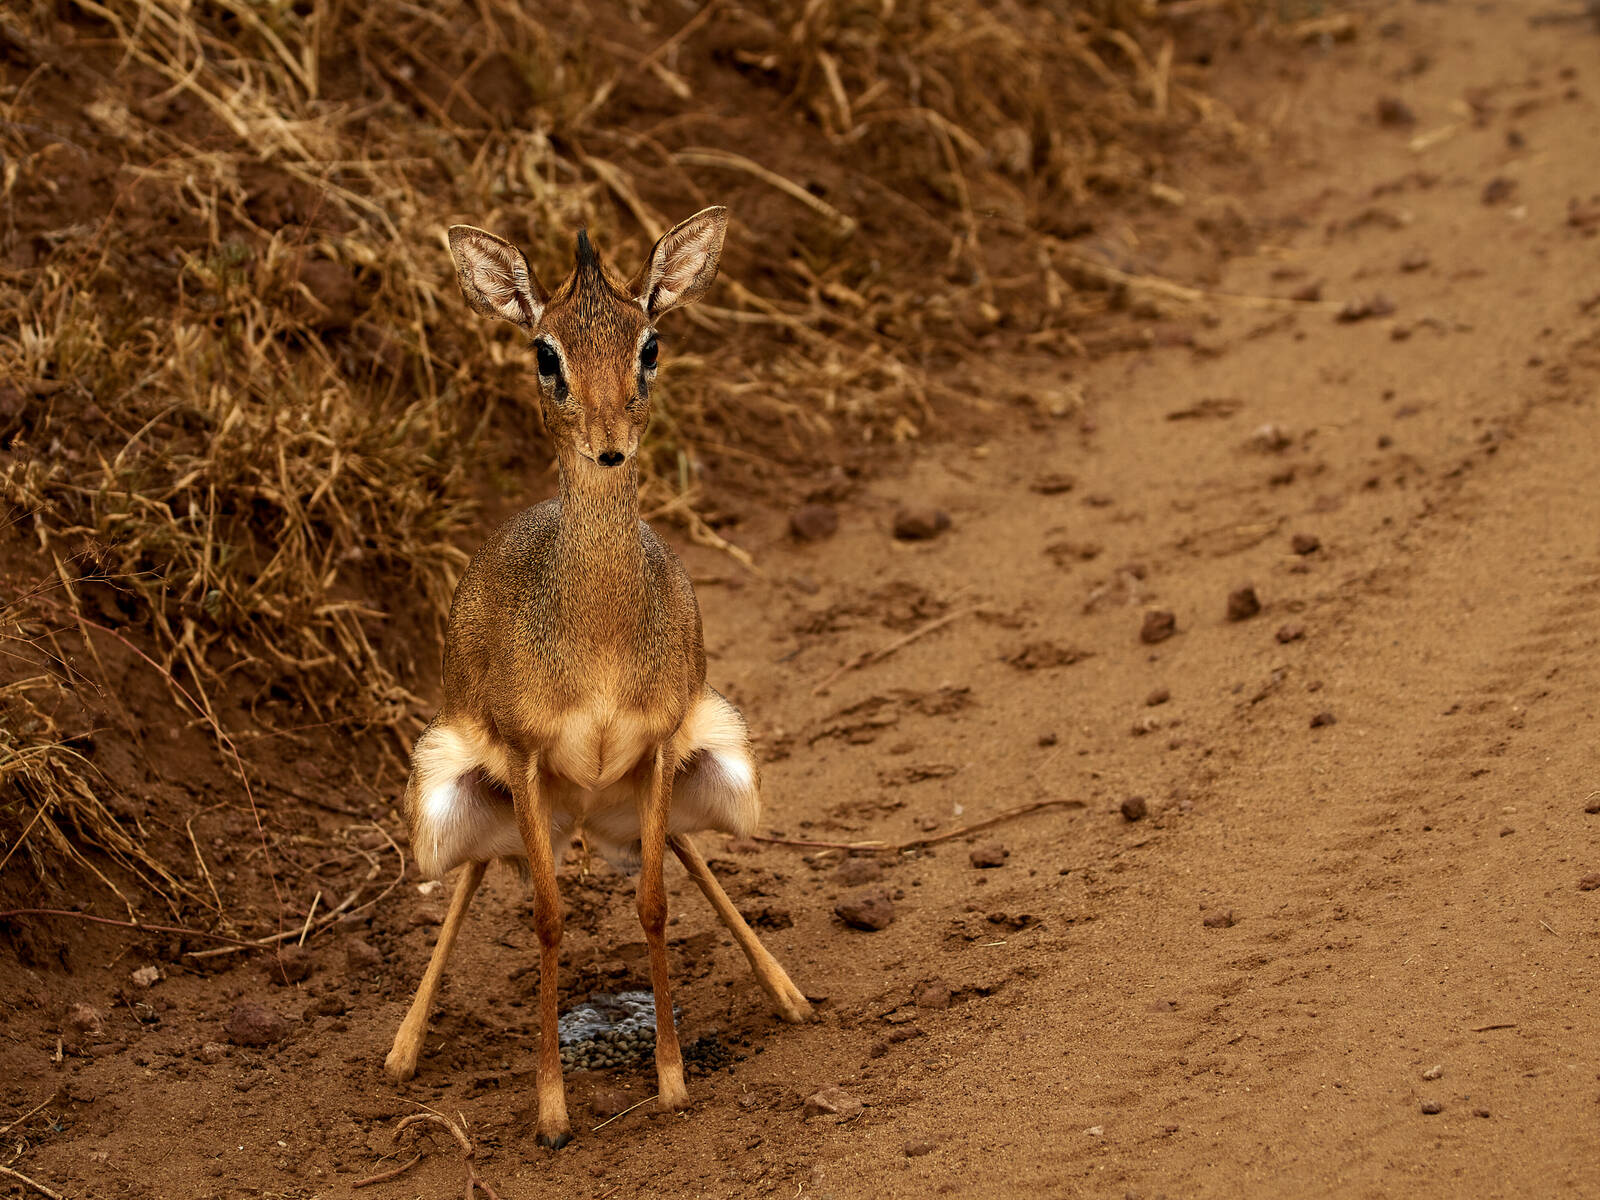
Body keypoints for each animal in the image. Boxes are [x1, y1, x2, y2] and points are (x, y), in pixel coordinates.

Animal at [382, 208, 813, 1148]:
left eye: (649, 344)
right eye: (547, 354)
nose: (611, 448)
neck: (599, 638)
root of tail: (584, 819)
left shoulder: (655, 747)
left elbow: (654, 905)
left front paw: (672, 1081)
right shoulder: (525, 759)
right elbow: (548, 918)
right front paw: (550, 1110)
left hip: (700, 780)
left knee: (683, 849)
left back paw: (789, 993)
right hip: (469, 805)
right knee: (473, 873)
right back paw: (401, 1049)